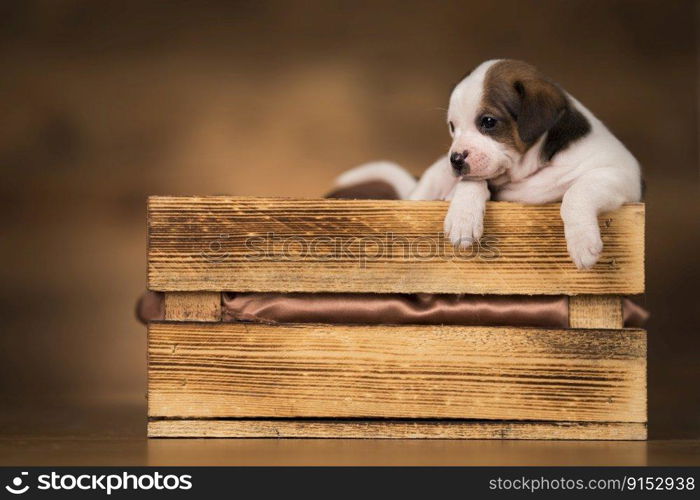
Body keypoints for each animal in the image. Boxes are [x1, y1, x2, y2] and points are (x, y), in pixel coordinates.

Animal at [336, 59, 644, 270]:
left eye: (488, 122)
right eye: (452, 127)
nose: (454, 159)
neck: (529, 171)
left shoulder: (622, 174)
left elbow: (577, 192)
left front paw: (582, 242)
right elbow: (473, 182)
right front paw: (463, 216)